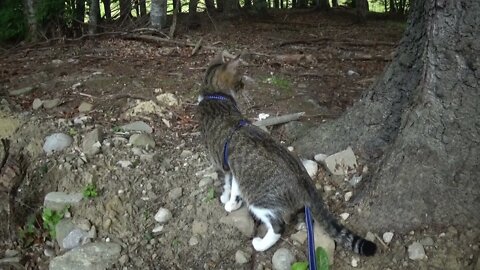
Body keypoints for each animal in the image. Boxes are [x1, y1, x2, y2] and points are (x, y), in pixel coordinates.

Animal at [197, 53, 376, 255]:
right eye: (240, 81)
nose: (243, 86)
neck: (215, 97)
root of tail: (304, 180)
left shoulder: (221, 162)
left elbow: (228, 185)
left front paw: (227, 201)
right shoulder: (233, 167)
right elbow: (234, 186)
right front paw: (232, 201)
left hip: (260, 199)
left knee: (278, 225)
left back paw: (260, 244)